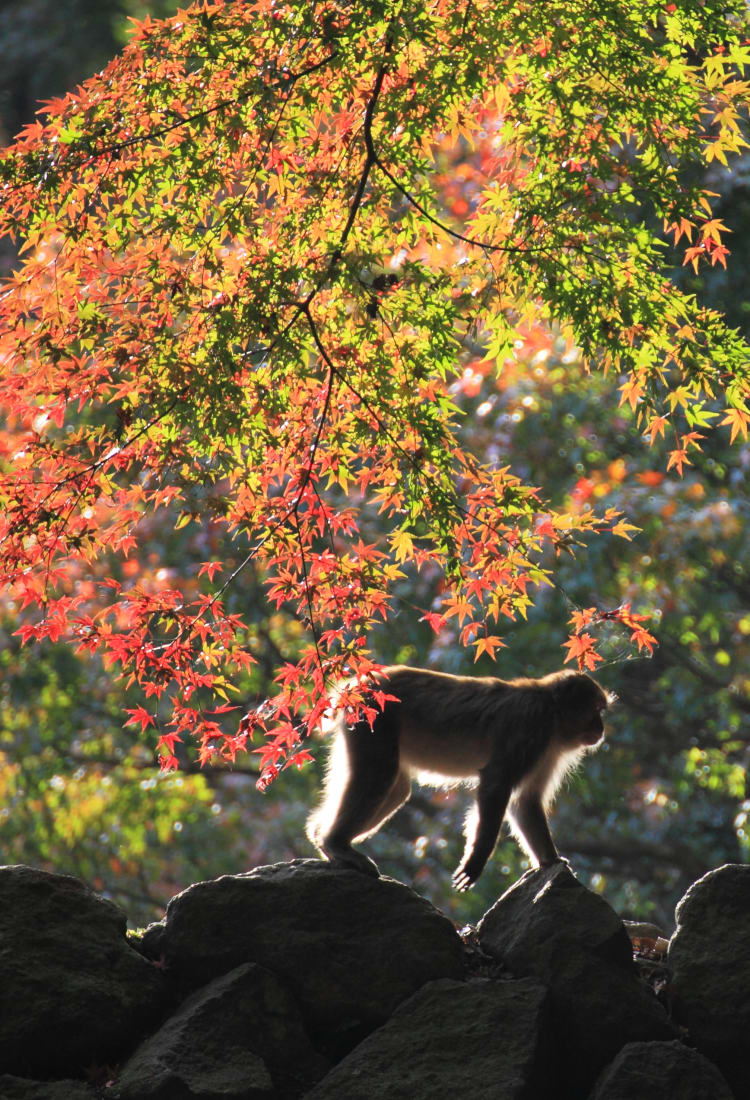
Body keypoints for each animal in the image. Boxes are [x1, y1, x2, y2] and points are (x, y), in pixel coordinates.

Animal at [305, 664, 611, 888]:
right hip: (373, 719)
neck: (551, 710)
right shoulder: (531, 728)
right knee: (380, 775)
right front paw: (475, 861)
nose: (601, 727)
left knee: (396, 789)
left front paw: (551, 861)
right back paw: (335, 843)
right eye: (595, 710)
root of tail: (357, 686)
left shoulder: (547, 750)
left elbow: (525, 801)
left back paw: (323, 839)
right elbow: (496, 786)